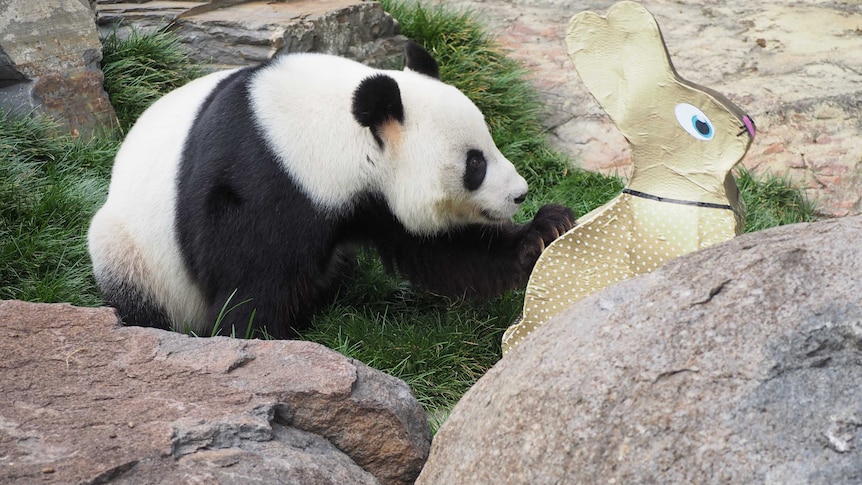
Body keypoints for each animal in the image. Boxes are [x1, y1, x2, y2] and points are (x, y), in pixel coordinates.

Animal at [88, 41, 576, 336]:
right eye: (474, 163)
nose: (519, 193)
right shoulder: (260, 177)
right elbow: (245, 271)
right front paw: (257, 339)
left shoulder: (375, 203)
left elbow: (442, 248)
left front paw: (545, 231)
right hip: (133, 253)